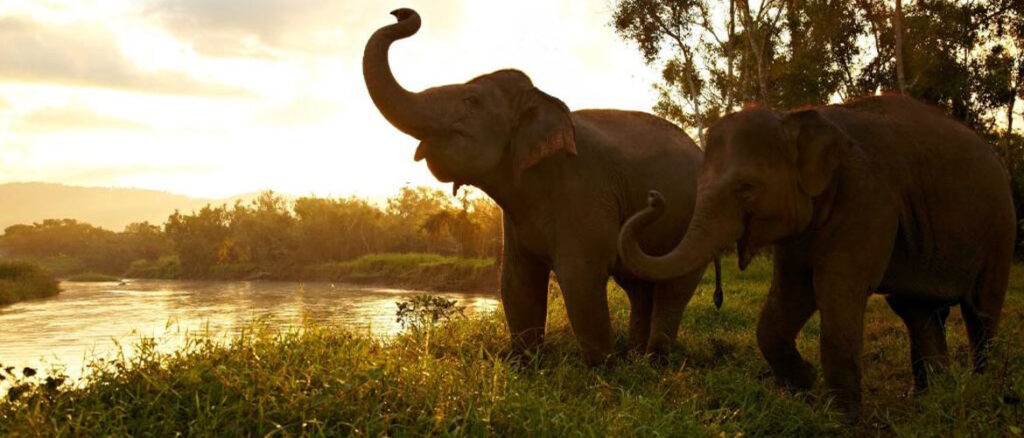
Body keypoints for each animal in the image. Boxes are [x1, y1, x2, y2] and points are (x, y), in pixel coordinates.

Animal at [364, 8, 722, 364]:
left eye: (472, 100)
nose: (400, 13)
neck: (543, 100)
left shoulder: (583, 189)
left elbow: (580, 278)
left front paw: (601, 368)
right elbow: (515, 281)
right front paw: (524, 363)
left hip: (694, 222)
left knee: (672, 288)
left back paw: (655, 359)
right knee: (639, 286)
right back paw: (637, 357)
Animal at [618, 95, 1015, 419]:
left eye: (747, 188)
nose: (654, 198)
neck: (794, 117)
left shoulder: (867, 199)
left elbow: (835, 290)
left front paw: (841, 421)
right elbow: (788, 296)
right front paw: (803, 387)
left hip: (999, 230)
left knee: (981, 311)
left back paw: (985, 395)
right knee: (918, 311)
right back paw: (930, 401)